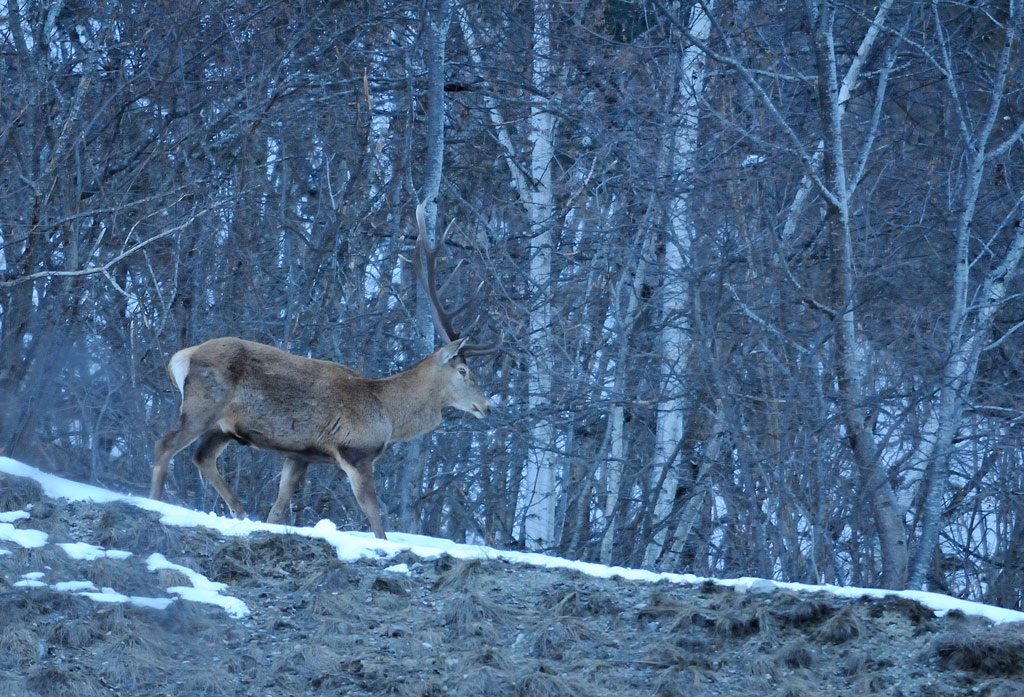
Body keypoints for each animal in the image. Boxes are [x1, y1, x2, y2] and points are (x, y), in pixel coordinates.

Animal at [149, 203, 500, 539]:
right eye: (463, 370)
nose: (487, 406)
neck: (387, 411)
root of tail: (182, 357)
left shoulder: (300, 454)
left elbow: (279, 507)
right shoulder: (355, 451)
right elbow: (375, 515)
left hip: (222, 426)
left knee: (202, 457)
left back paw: (241, 513)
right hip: (204, 402)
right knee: (165, 444)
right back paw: (155, 504)